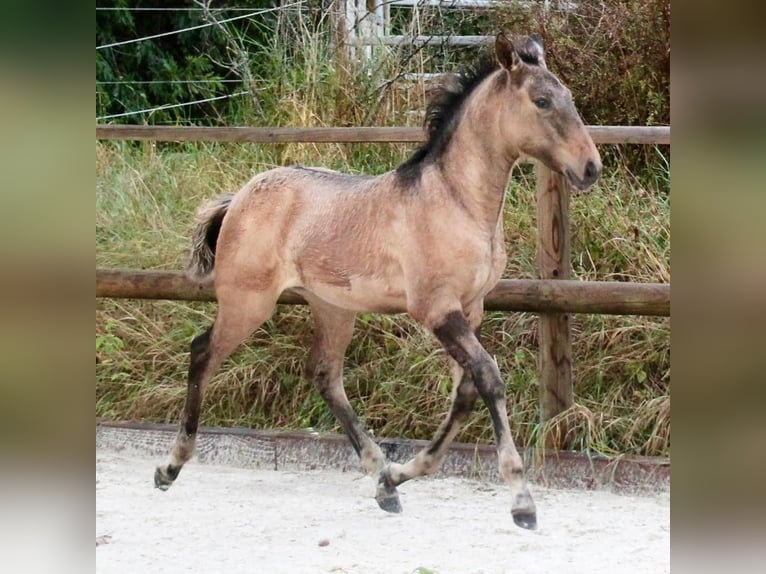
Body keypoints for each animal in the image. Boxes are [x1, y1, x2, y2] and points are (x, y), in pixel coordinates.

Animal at [154, 35, 600, 532]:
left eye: (569, 97)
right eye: (541, 101)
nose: (590, 168)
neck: (456, 202)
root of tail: (240, 198)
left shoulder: (472, 308)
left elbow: (464, 393)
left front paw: (403, 474)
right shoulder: (436, 309)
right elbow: (488, 378)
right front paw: (521, 500)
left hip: (332, 308)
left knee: (325, 376)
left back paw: (382, 479)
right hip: (247, 302)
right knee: (203, 353)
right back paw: (170, 466)